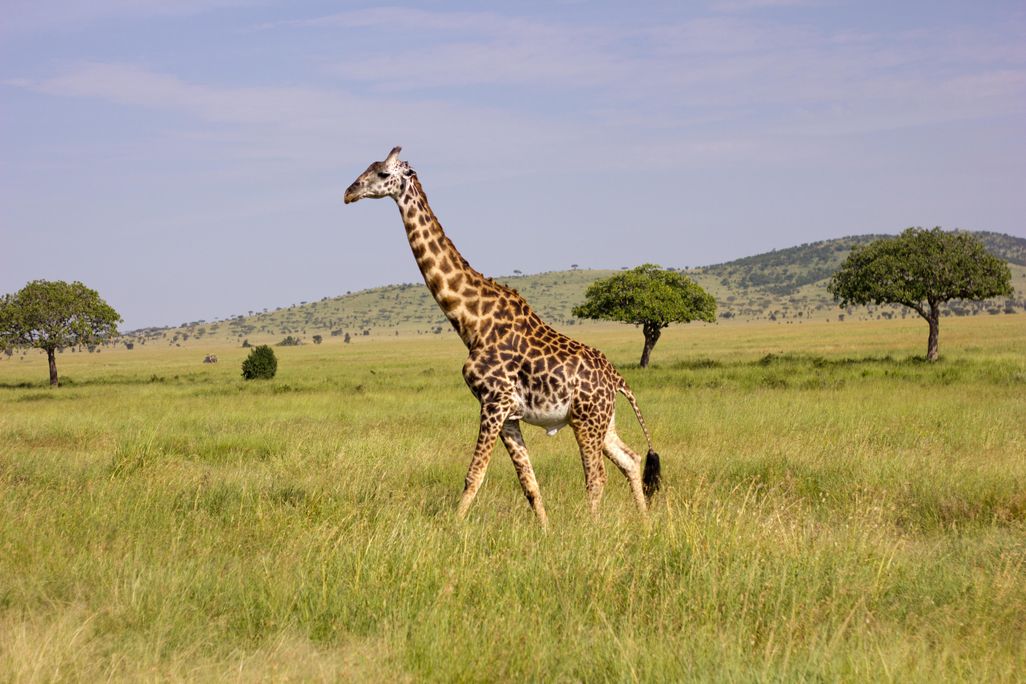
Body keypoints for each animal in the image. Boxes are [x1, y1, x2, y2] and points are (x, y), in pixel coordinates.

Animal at [344, 147, 661, 526]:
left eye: (380, 173)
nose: (348, 193)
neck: (471, 322)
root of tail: (617, 378)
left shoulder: (493, 403)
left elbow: (474, 475)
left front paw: (453, 528)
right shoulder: (508, 414)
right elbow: (529, 483)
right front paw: (545, 531)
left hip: (587, 421)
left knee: (596, 476)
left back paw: (592, 528)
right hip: (601, 421)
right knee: (631, 459)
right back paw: (645, 523)